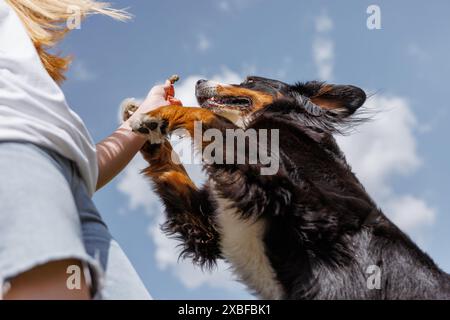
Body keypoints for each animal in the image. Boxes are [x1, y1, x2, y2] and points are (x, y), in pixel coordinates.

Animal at [123, 76, 450, 298]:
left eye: (250, 80)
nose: (200, 80)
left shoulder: (286, 190)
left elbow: (207, 116)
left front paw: (157, 115)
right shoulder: (212, 224)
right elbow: (175, 172)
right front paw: (150, 135)